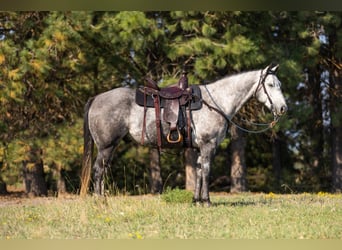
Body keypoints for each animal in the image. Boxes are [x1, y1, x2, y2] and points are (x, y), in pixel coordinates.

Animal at [79, 63, 286, 205]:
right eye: (270, 84)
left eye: (279, 84)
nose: (283, 108)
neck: (216, 101)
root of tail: (96, 98)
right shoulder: (208, 145)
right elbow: (207, 171)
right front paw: (207, 201)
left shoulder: (200, 147)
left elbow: (199, 171)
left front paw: (196, 200)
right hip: (106, 146)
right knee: (98, 170)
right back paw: (99, 200)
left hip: (110, 147)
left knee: (103, 170)